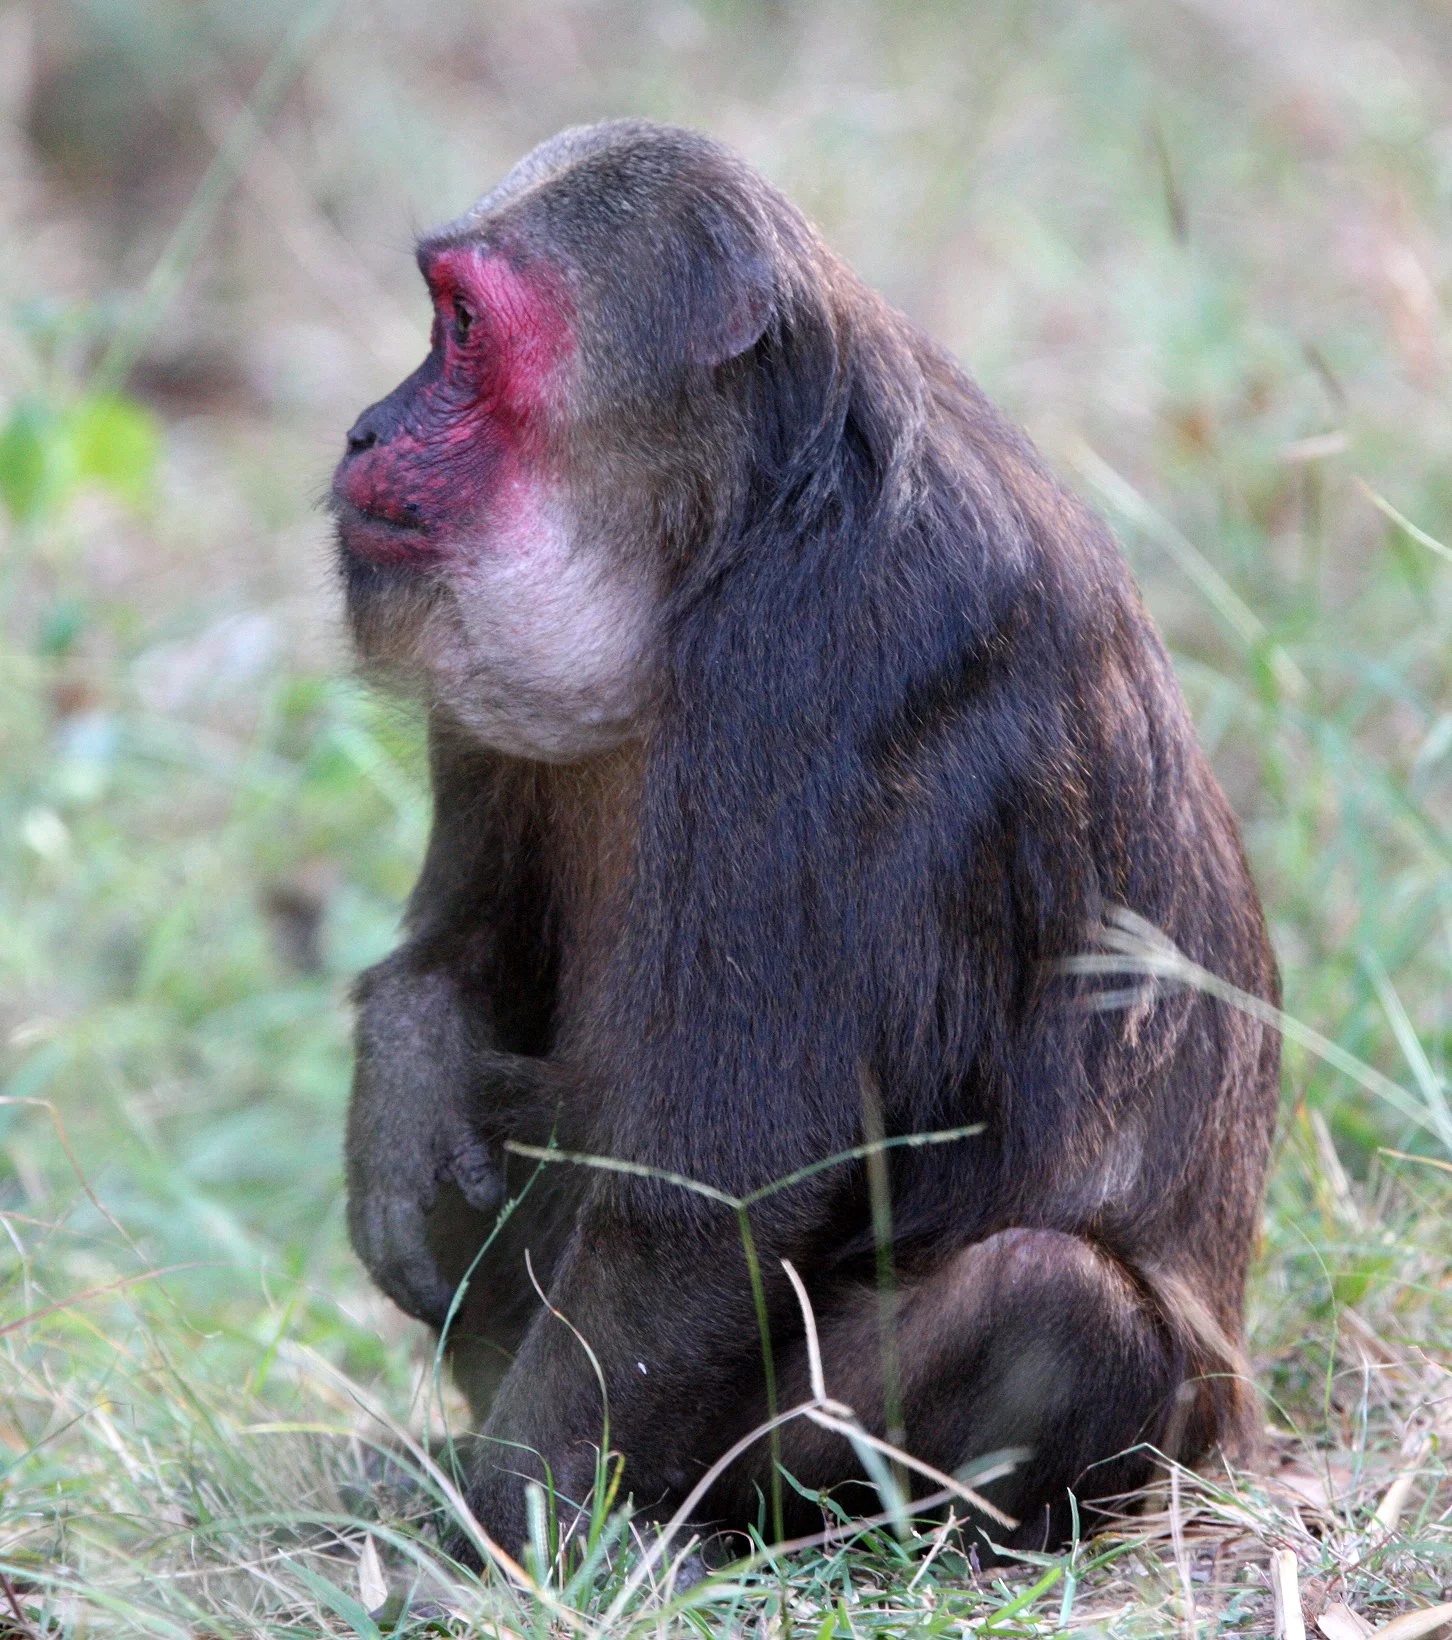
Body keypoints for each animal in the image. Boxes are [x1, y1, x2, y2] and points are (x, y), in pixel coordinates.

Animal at [331, 119, 1280, 1562]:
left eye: (462, 329)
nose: (367, 426)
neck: (720, 533)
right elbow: (461, 946)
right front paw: (404, 1071)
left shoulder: (820, 661)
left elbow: (709, 1198)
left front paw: (505, 1537)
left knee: (1057, 1303)